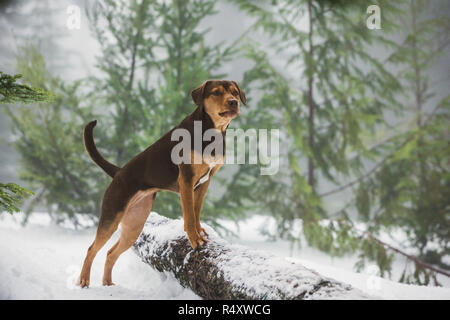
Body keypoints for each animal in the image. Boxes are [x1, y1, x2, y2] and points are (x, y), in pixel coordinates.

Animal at [77, 79, 246, 288]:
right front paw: (195, 240)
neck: (211, 131)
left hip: (134, 225)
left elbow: (197, 211)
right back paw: (84, 280)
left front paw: (201, 233)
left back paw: (108, 283)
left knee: (110, 253)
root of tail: (118, 172)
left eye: (235, 92)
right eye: (216, 92)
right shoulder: (186, 179)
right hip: (111, 216)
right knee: (91, 249)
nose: (233, 102)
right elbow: (189, 216)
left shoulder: (204, 182)